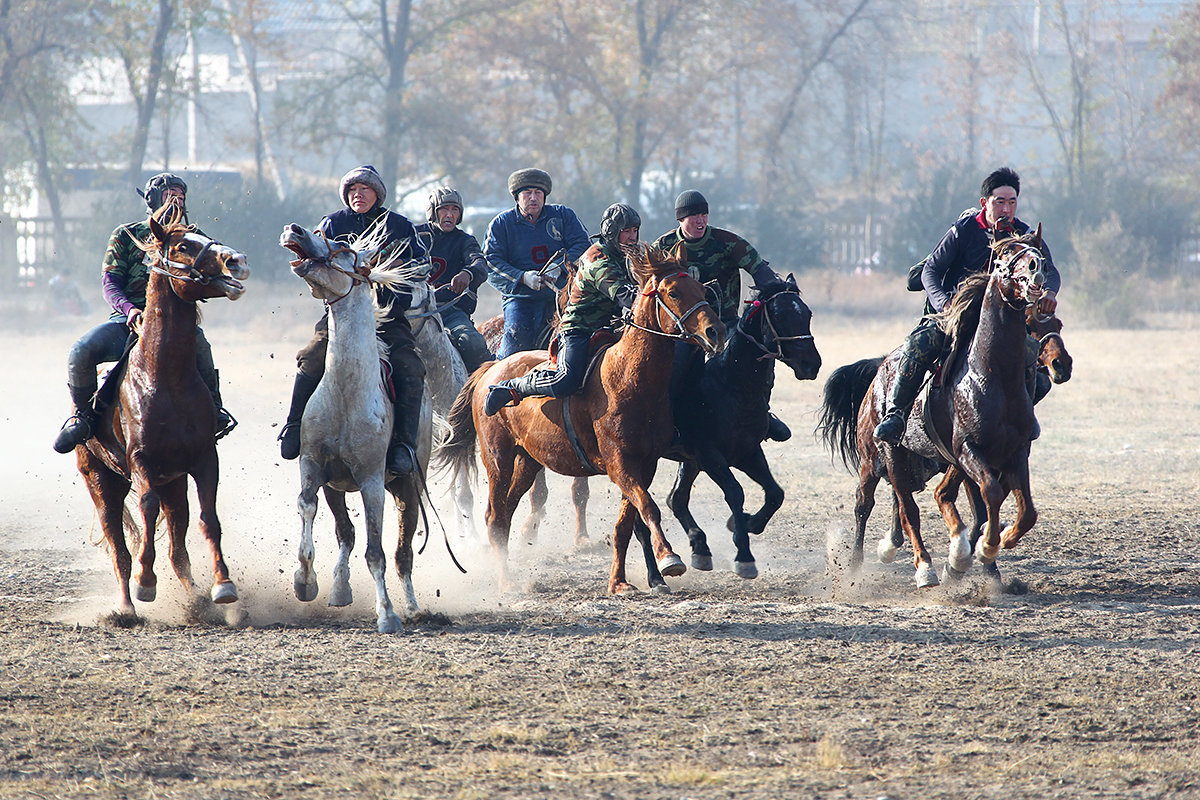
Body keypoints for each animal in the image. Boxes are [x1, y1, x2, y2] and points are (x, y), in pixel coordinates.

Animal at [73, 212, 250, 618]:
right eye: (183, 246)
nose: (237, 261)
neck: (163, 377)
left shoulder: (203, 459)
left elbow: (208, 519)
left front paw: (224, 585)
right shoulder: (142, 462)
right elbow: (147, 510)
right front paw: (146, 582)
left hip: (174, 482)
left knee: (178, 548)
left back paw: (196, 600)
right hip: (100, 480)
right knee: (119, 548)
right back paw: (126, 607)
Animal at [278, 221, 434, 633]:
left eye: (346, 250)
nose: (295, 229)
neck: (346, 394)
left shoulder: (371, 481)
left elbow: (376, 552)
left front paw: (388, 614)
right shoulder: (313, 466)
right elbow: (306, 509)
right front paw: (305, 582)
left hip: (407, 487)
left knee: (402, 553)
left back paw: (413, 606)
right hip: (337, 487)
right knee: (345, 534)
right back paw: (339, 588)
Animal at [439, 244, 724, 594]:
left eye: (701, 289)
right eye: (673, 292)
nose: (716, 331)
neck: (628, 377)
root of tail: (490, 370)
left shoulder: (646, 464)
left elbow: (625, 525)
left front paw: (618, 582)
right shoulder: (619, 465)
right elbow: (649, 508)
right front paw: (669, 558)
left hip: (528, 461)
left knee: (506, 513)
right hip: (497, 457)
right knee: (494, 517)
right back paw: (506, 581)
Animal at [633, 277, 820, 587]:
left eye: (807, 313)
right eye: (779, 315)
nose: (811, 364)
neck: (730, 381)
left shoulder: (747, 452)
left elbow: (775, 493)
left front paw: (745, 522)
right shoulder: (710, 455)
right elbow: (735, 492)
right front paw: (744, 554)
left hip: (689, 461)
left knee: (676, 499)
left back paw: (700, 547)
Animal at [816, 225, 1051, 587]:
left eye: (1037, 254)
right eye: (1003, 259)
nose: (1037, 271)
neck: (990, 376)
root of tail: (879, 370)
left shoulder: (1015, 451)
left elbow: (1025, 512)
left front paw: (995, 546)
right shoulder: (968, 449)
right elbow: (991, 494)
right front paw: (983, 549)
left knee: (911, 503)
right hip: (880, 457)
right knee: (878, 506)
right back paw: (903, 566)